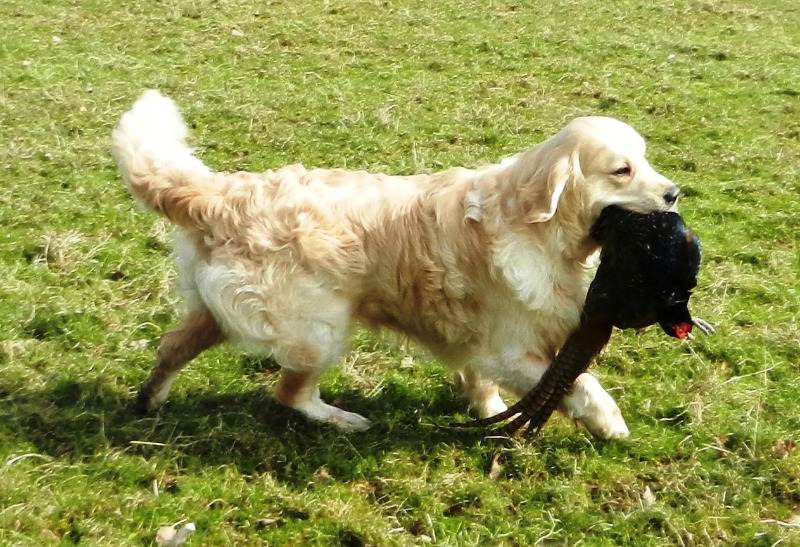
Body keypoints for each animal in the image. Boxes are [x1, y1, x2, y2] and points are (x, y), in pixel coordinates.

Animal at [112, 92, 680, 438]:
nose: (675, 193)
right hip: (319, 328)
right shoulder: (509, 349)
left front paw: (488, 410)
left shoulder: (482, 344)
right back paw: (343, 419)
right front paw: (610, 424)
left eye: (646, 160)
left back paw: (150, 400)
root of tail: (222, 195)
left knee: (171, 348)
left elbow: (482, 383)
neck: (539, 229)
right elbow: (580, 385)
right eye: (622, 170)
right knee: (289, 392)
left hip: (216, 311)